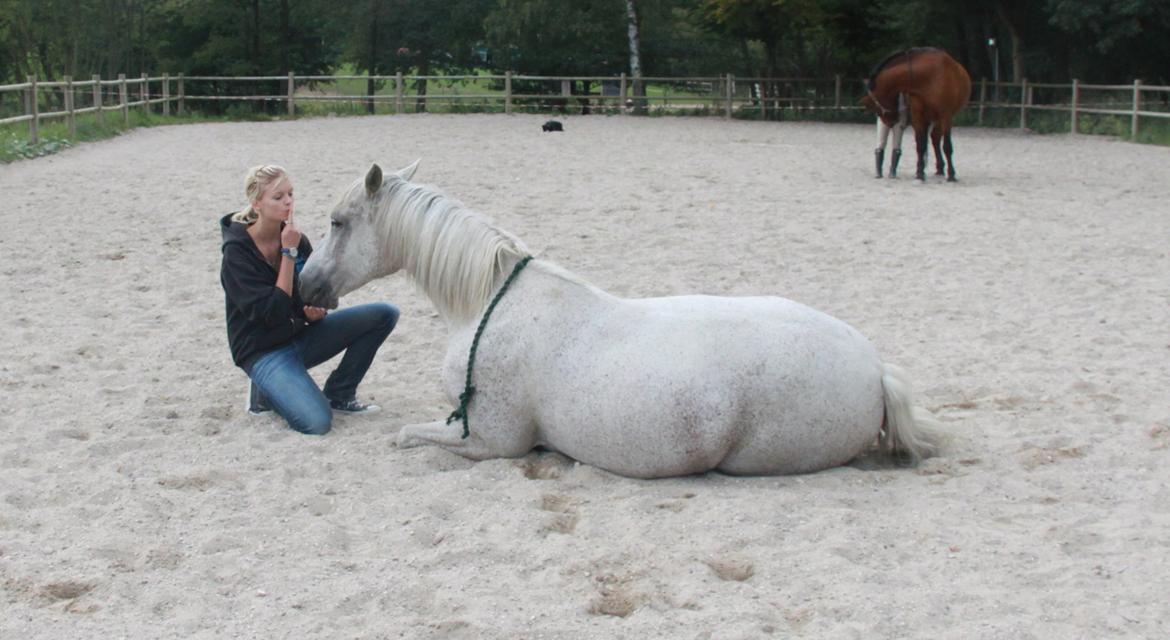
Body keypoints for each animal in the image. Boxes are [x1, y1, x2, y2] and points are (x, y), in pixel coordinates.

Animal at [299, 162, 940, 477]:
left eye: (337, 222)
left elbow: (405, 435)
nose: (306, 285)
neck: (488, 302)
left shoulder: (488, 442)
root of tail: (874, 369)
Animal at [861, 47, 968, 181]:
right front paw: (920, 174)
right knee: (931, 139)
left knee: (936, 139)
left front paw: (952, 175)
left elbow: (947, 146)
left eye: (876, 109)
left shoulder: (945, 115)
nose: (891, 123)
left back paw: (941, 169)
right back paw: (931, 168)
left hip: (938, 119)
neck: (929, 77)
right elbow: (920, 145)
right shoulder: (918, 115)